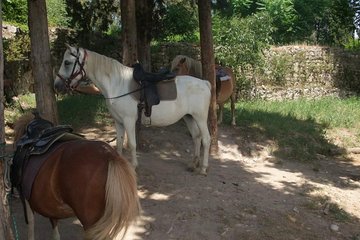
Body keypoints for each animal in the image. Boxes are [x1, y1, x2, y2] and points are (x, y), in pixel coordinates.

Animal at [53, 46, 211, 174]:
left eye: (67, 62)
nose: (57, 85)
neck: (117, 84)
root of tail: (204, 83)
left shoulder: (128, 120)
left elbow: (131, 144)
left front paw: (134, 166)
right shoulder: (118, 122)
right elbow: (119, 144)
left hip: (200, 118)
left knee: (206, 139)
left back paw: (203, 168)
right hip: (189, 117)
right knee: (196, 137)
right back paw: (193, 164)